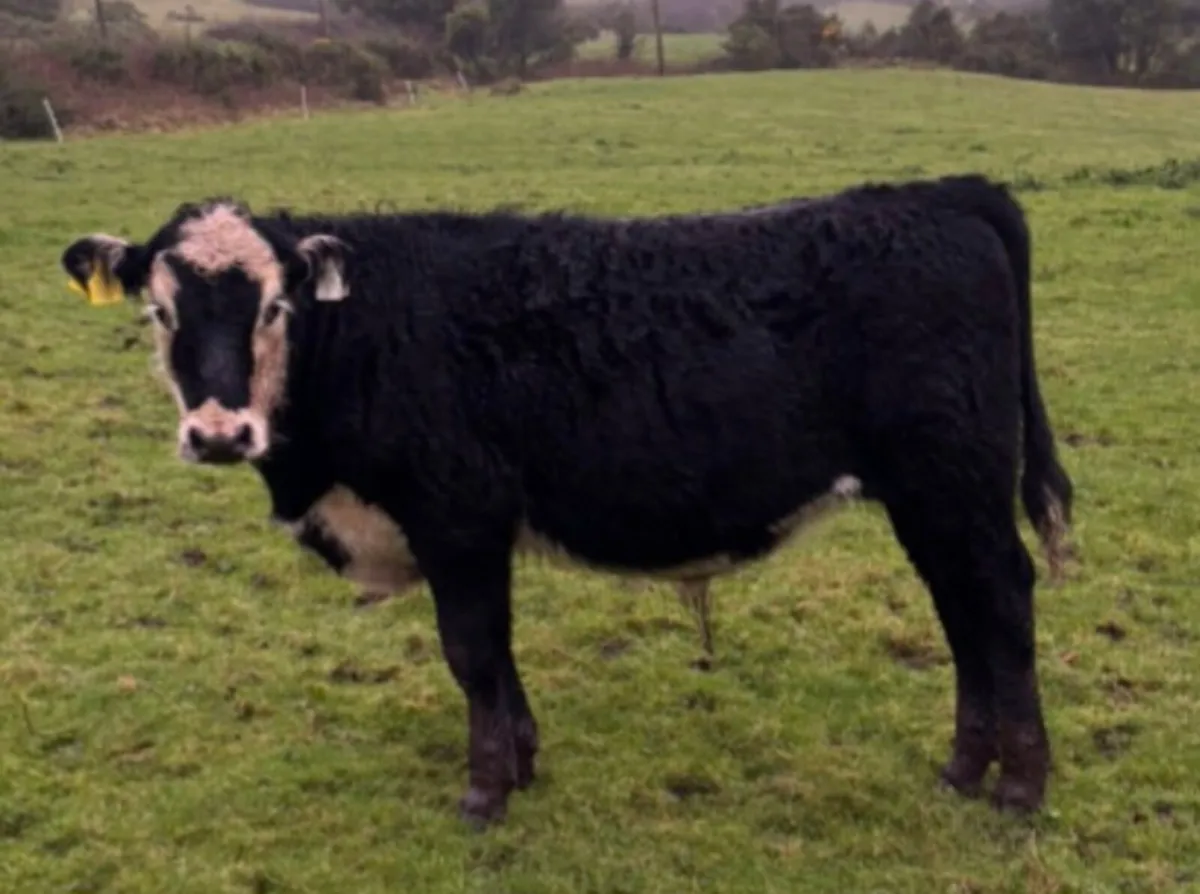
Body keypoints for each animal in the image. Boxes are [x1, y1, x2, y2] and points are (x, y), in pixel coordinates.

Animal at [60, 173, 1074, 829]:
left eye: (273, 308)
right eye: (160, 312)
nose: (219, 433)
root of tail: (939, 194)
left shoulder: (455, 516)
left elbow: (470, 653)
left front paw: (483, 794)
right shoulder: (477, 530)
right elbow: (496, 656)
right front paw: (523, 761)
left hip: (954, 484)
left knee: (1001, 604)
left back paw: (1020, 790)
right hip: (933, 499)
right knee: (963, 614)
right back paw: (963, 770)